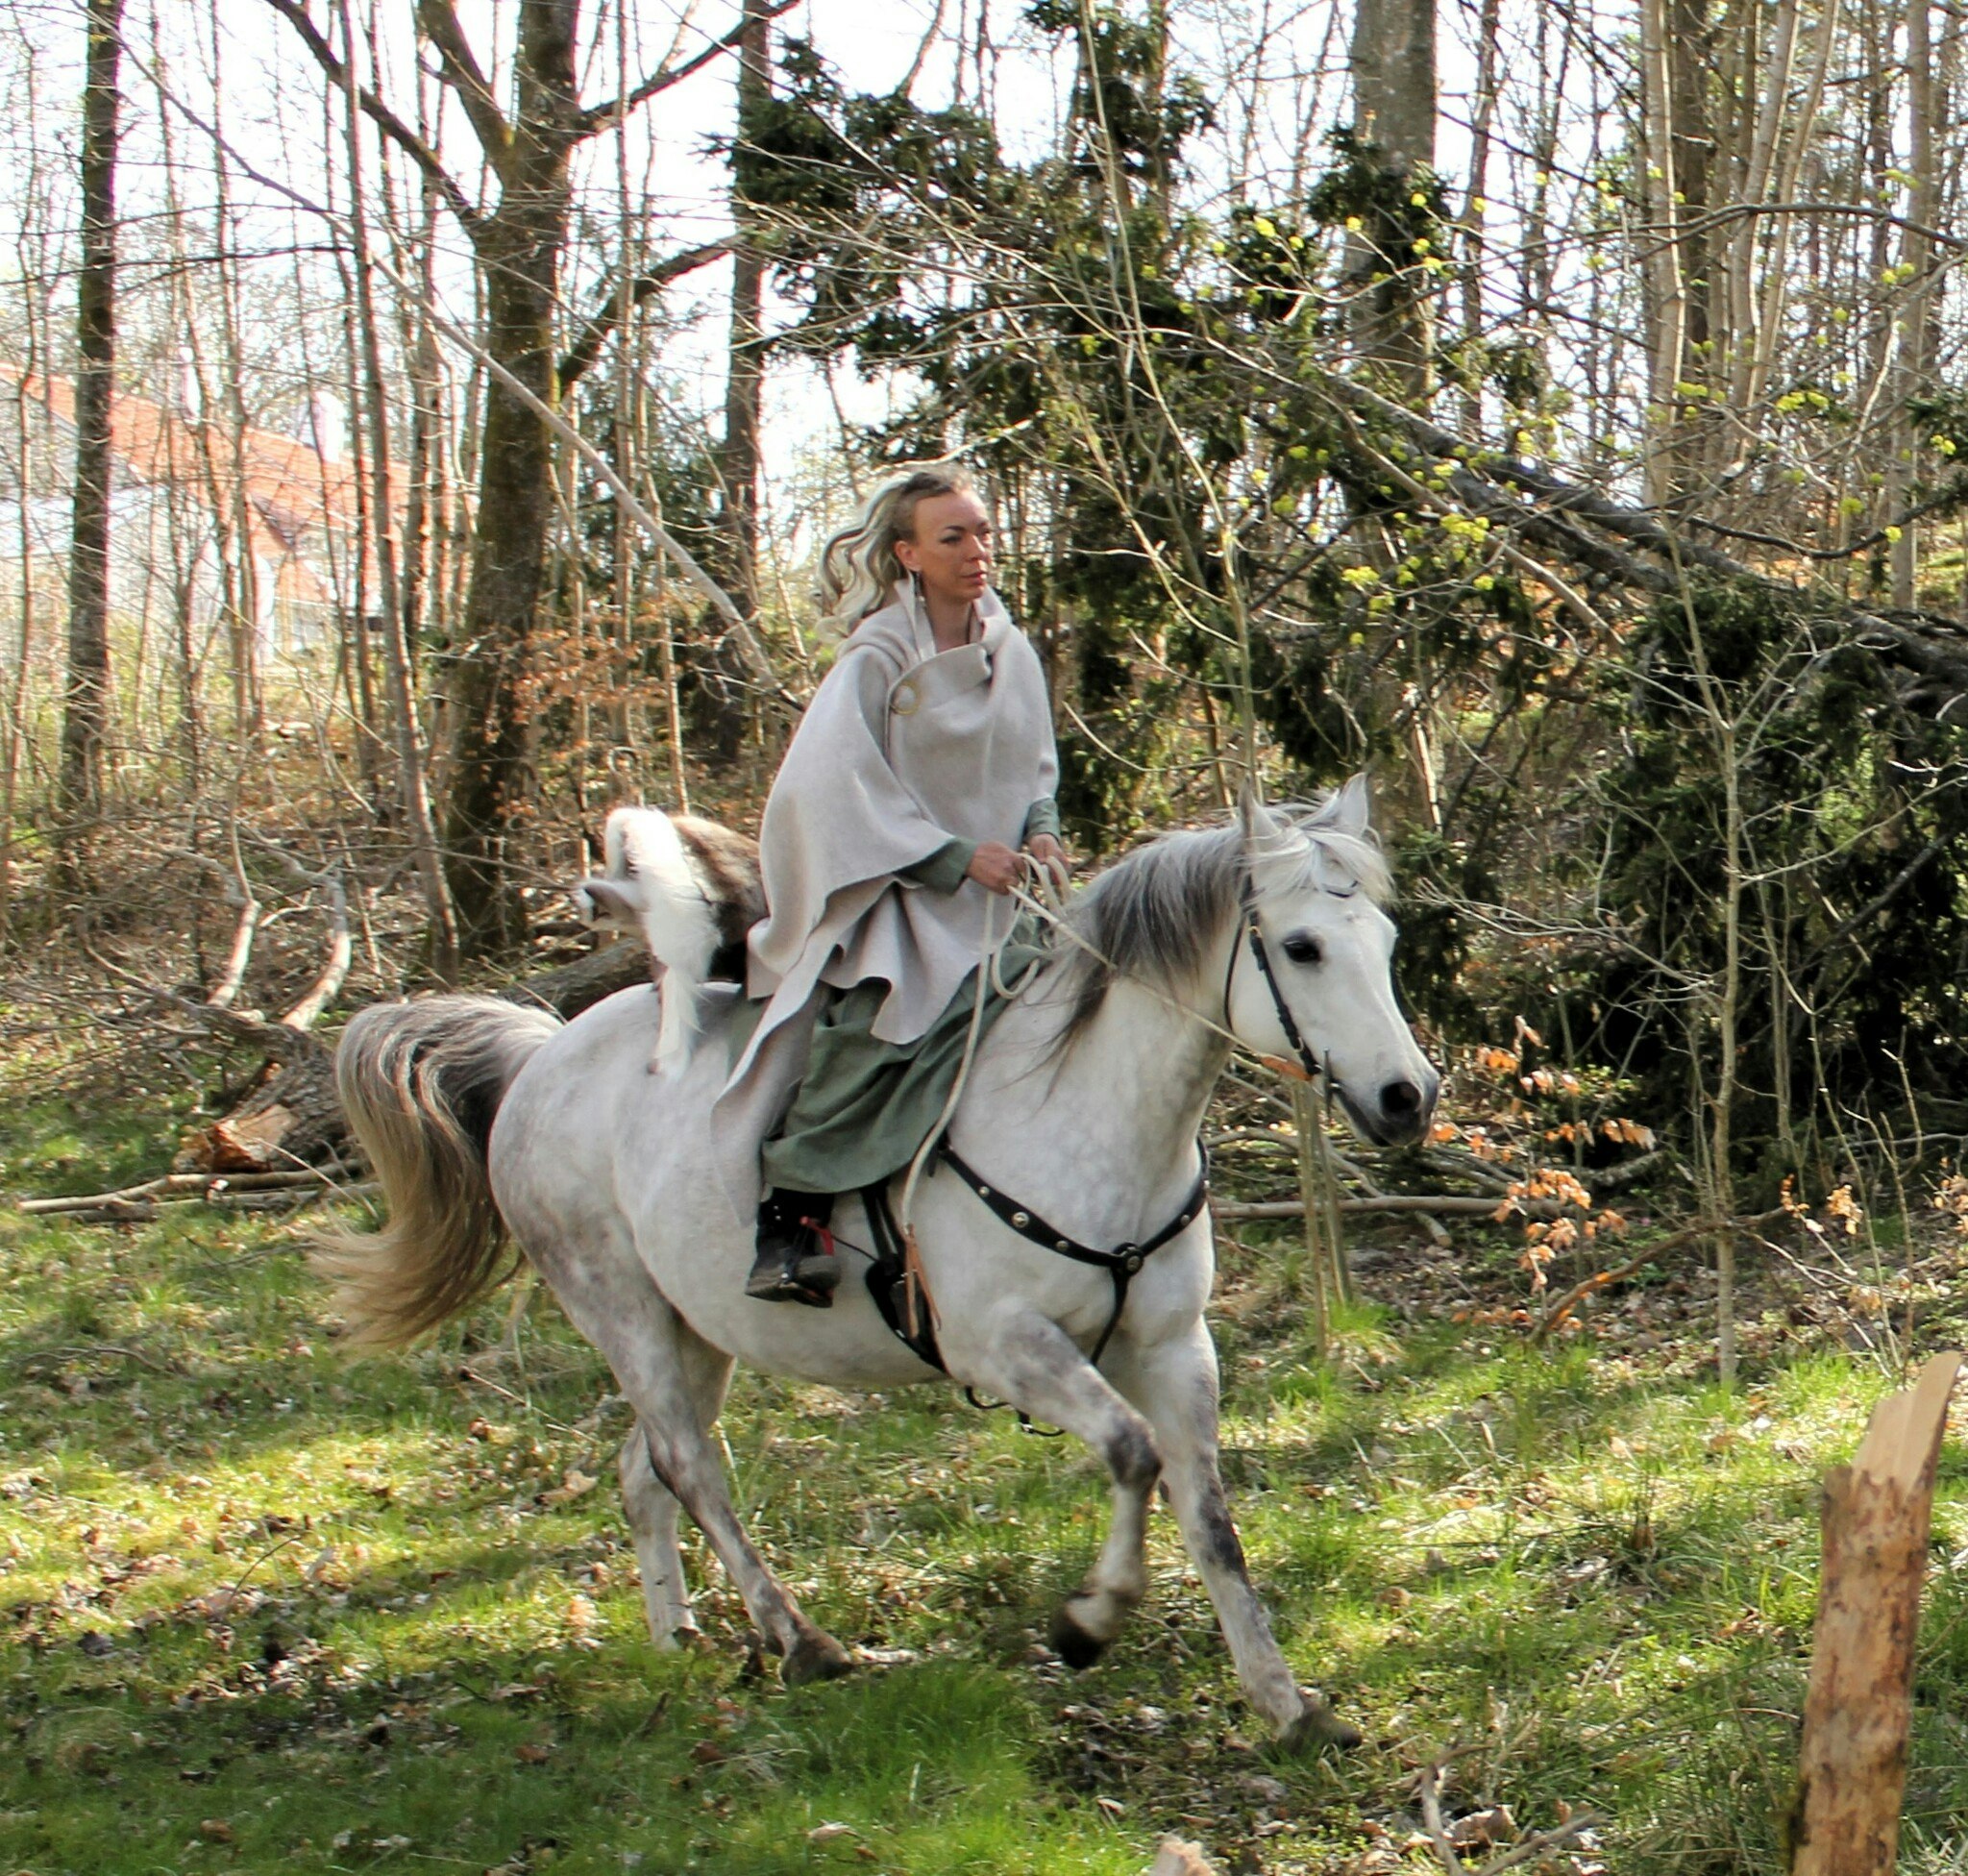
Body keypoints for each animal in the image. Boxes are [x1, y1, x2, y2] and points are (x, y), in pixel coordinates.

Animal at [318, 783, 1432, 1747]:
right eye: (1301, 946)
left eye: (1384, 941)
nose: (1406, 1096)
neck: (1081, 1110)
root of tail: (539, 1058)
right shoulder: (1006, 1349)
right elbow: (1129, 1454)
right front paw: (1089, 1621)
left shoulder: (1171, 1349)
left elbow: (1210, 1520)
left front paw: (1283, 1701)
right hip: (619, 1307)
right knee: (690, 1466)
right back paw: (800, 1638)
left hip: (697, 1327)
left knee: (645, 1471)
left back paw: (677, 1637)